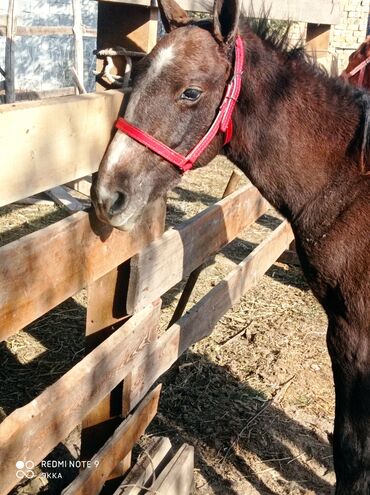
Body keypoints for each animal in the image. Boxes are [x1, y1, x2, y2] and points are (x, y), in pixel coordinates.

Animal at [90, 1, 370, 494]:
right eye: (134, 76)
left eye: (190, 92)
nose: (108, 197)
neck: (350, 184)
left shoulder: (353, 333)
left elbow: (352, 451)